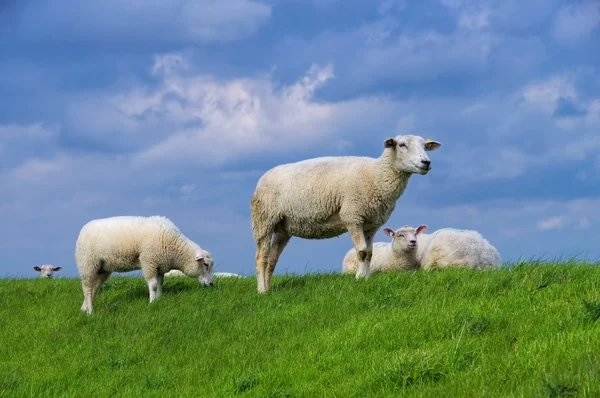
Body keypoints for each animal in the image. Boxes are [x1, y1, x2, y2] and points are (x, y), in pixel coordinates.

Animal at [74, 215, 214, 314]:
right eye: (206, 264)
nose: (212, 284)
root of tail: (83, 229)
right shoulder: (149, 261)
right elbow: (153, 285)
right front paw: (152, 302)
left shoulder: (159, 265)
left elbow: (160, 283)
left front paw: (159, 299)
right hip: (87, 263)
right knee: (87, 287)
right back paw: (90, 311)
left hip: (102, 268)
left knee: (94, 287)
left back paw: (84, 308)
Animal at [248, 134, 440, 292]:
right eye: (402, 145)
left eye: (425, 145)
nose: (426, 162)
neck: (376, 175)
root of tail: (263, 177)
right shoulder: (353, 216)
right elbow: (361, 251)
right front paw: (359, 278)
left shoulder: (371, 223)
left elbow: (370, 253)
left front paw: (367, 277)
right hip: (264, 220)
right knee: (260, 257)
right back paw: (261, 291)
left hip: (283, 228)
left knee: (272, 259)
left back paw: (269, 289)